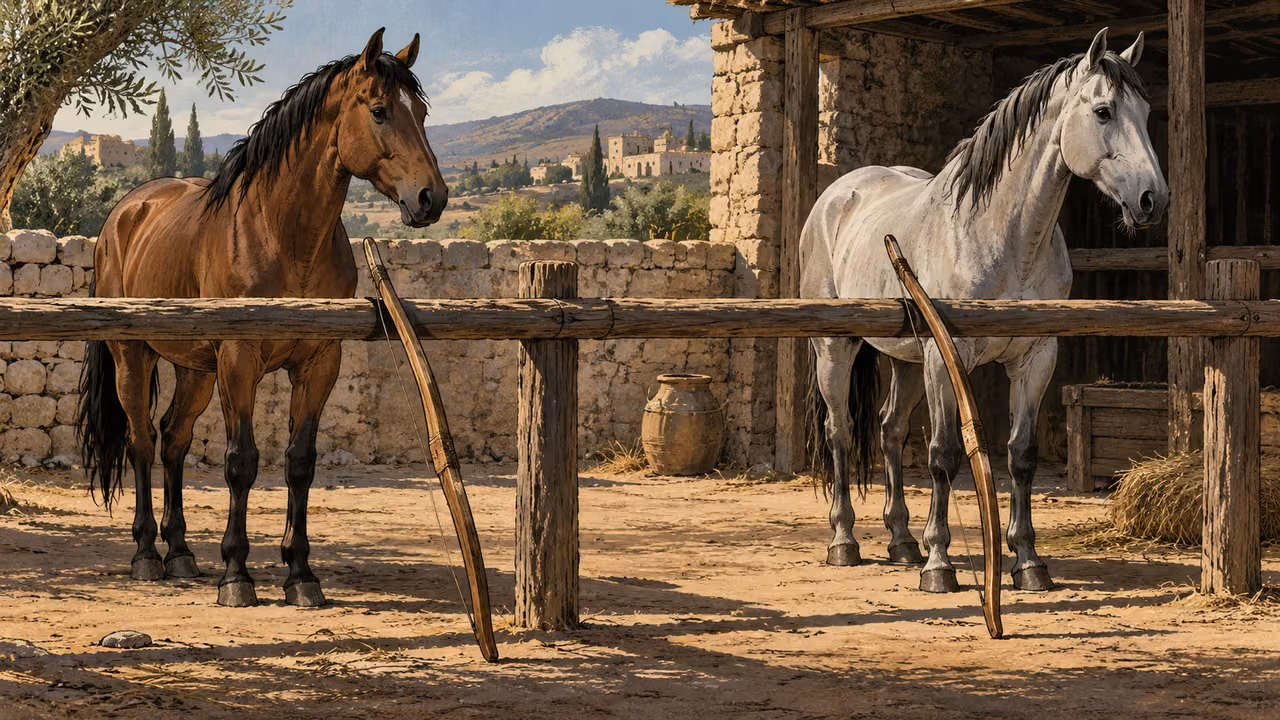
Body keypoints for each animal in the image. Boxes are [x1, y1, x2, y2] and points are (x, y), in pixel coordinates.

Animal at [77, 29, 447, 608]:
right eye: (381, 111)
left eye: (423, 113)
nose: (432, 198)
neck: (282, 234)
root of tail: (124, 213)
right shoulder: (239, 359)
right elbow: (241, 461)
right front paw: (236, 575)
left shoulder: (320, 363)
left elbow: (300, 462)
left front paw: (301, 574)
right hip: (133, 357)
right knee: (141, 440)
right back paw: (146, 555)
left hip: (195, 369)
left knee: (173, 438)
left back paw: (180, 553)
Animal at [801, 29, 1167, 593]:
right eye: (1103, 111)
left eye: (1146, 112)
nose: (1154, 200)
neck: (1002, 236)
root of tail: (839, 195)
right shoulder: (945, 357)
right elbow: (944, 456)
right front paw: (940, 565)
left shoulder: (1036, 359)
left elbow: (1020, 456)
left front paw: (1028, 561)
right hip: (837, 350)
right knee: (840, 434)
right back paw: (845, 542)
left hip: (905, 362)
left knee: (889, 430)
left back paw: (901, 541)